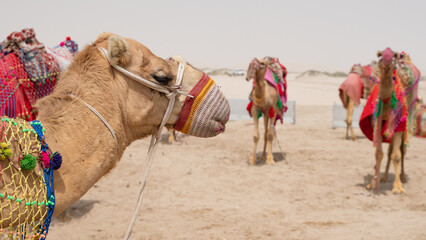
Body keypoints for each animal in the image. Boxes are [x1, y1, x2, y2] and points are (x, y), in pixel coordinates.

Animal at [360, 47, 410, 194]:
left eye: (393, 55)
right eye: (381, 54)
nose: (387, 59)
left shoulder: (399, 126)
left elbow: (397, 155)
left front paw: (398, 187)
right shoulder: (376, 123)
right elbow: (379, 153)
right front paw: (372, 183)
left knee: (401, 150)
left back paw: (403, 177)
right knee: (389, 151)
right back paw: (384, 177)